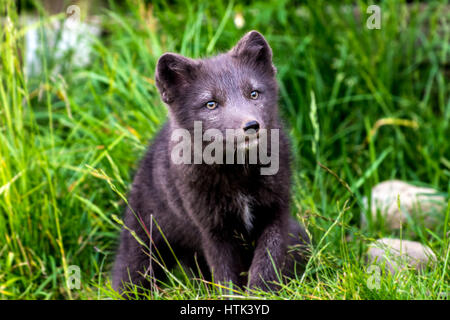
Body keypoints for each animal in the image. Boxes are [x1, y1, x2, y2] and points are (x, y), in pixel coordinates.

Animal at [112, 31, 310, 294]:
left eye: (254, 93)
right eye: (211, 104)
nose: (251, 125)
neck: (239, 178)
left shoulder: (276, 211)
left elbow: (267, 263)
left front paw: (261, 293)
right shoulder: (212, 229)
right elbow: (226, 276)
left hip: (299, 237)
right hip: (144, 246)